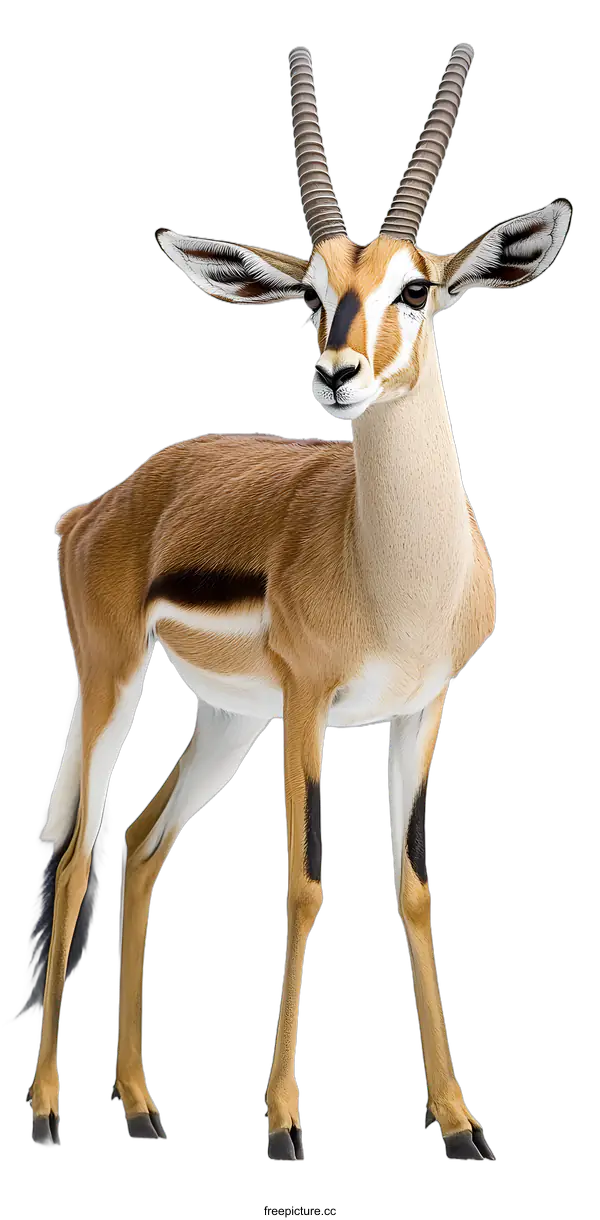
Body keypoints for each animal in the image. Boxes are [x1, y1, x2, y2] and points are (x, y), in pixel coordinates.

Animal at [23, 39, 573, 1160]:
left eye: (418, 288)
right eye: (310, 293)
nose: (337, 373)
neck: (391, 571)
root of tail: (104, 503)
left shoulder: (421, 707)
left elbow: (413, 885)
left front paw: (460, 1124)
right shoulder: (313, 702)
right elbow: (311, 879)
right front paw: (282, 1125)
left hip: (227, 717)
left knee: (141, 844)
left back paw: (141, 1108)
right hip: (114, 684)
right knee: (78, 853)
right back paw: (49, 1107)